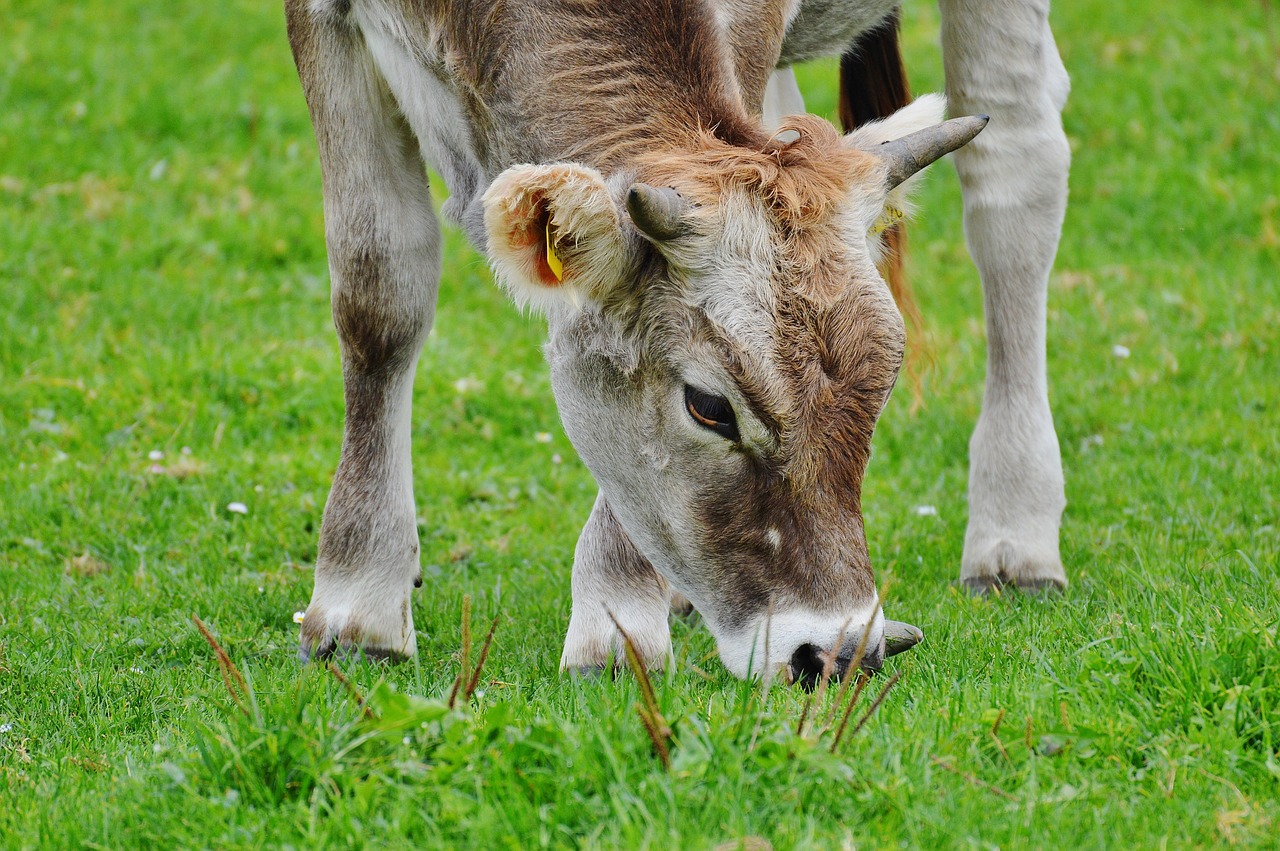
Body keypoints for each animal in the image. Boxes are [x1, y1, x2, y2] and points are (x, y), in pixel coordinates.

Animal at [285, 0, 1075, 685]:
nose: (837, 651)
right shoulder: (324, 20)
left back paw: (1016, 537)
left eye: (880, 392)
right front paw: (358, 604)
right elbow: (379, 288)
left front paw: (615, 626)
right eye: (709, 407)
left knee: (1016, 176)